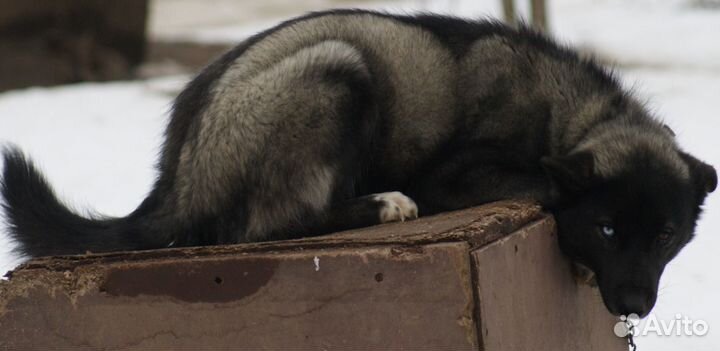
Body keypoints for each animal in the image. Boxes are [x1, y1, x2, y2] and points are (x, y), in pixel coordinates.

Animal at [1, 9, 716, 318]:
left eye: (665, 237)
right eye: (605, 229)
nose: (635, 307)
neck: (572, 113)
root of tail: (175, 178)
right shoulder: (459, 174)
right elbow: (542, 181)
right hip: (339, 67)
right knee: (263, 228)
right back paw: (381, 204)